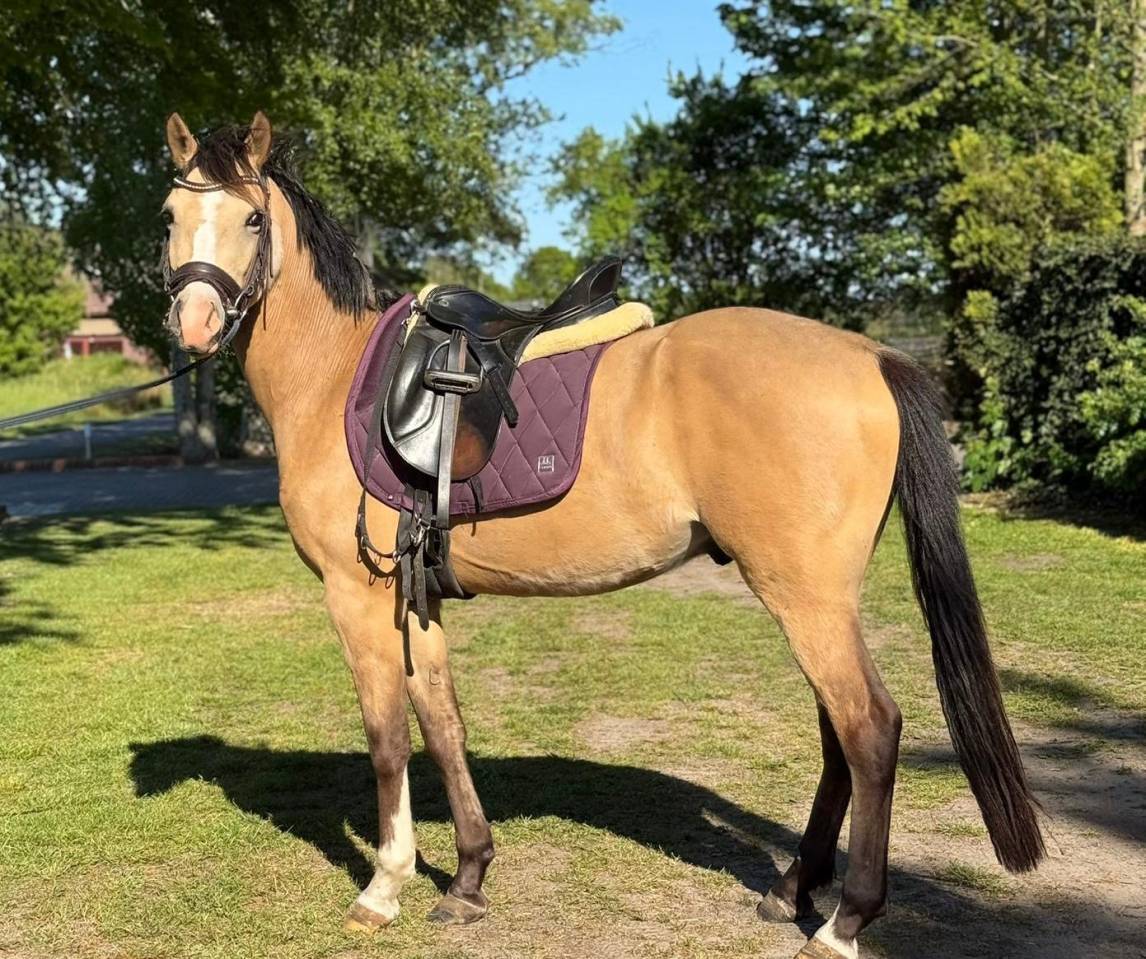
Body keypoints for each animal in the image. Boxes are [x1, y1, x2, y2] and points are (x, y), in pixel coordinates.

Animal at [158, 112, 1043, 959]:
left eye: (250, 217)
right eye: (170, 213)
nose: (195, 322)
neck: (337, 376)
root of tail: (870, 354)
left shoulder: (358, 597)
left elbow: (386, 740)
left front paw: (384, 886)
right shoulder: (418, 599)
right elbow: (443, 724)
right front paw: (469, 876)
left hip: (805, 598)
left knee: (870, 731)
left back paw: (842, 922)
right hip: (816, 598)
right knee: (838, 736)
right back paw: (793, 888)